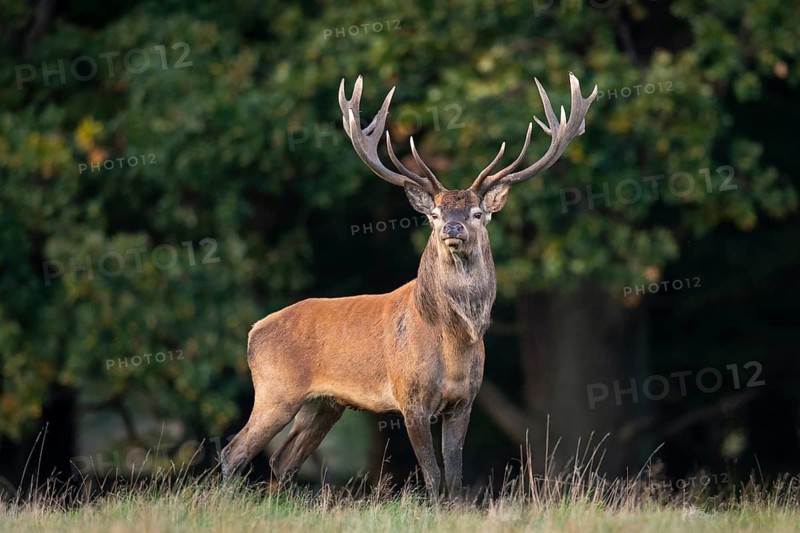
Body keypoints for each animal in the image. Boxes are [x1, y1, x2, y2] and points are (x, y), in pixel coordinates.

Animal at [220, 73, 597, 500]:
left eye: (477, 212)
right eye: (434, 213)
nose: (453, 228)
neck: (453, 341)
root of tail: (253, 332)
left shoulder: (464, 400)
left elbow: (455, 476)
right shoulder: (410, 397)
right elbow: (432, 477)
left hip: (324, 404)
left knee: (283, 459)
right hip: (276, 390)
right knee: (234, 450)